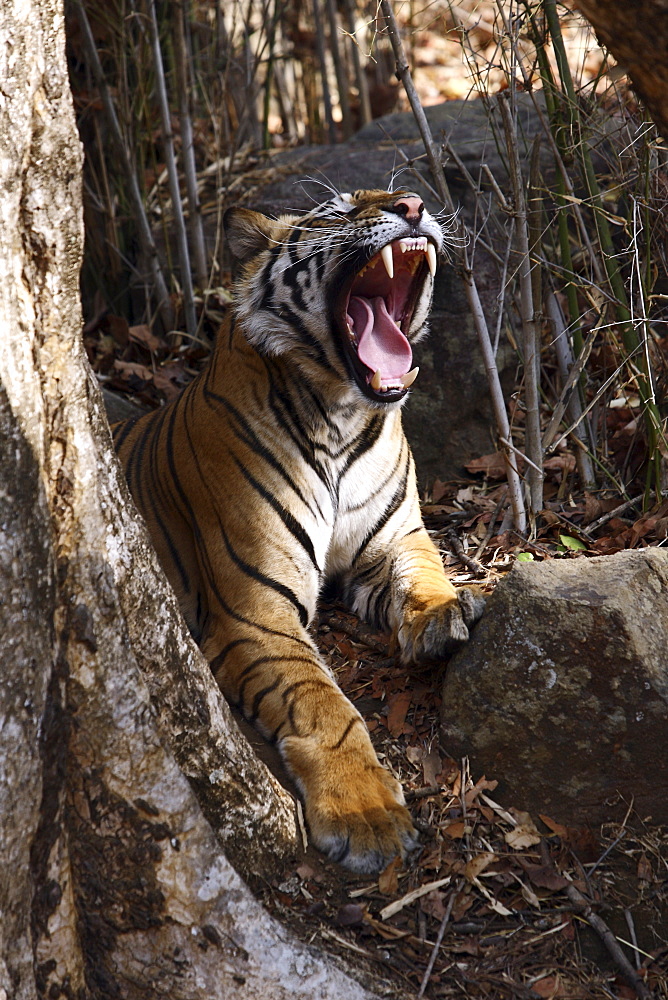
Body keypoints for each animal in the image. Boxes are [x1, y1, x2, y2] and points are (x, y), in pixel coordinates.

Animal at [112, 189, 482, 876]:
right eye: (335, 212)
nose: (413, 203)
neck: (342, 412)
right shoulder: (253, 610)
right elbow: (323, 704)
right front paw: (367, 818)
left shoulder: (394, 539)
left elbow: (424, 573)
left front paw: (444, 615)